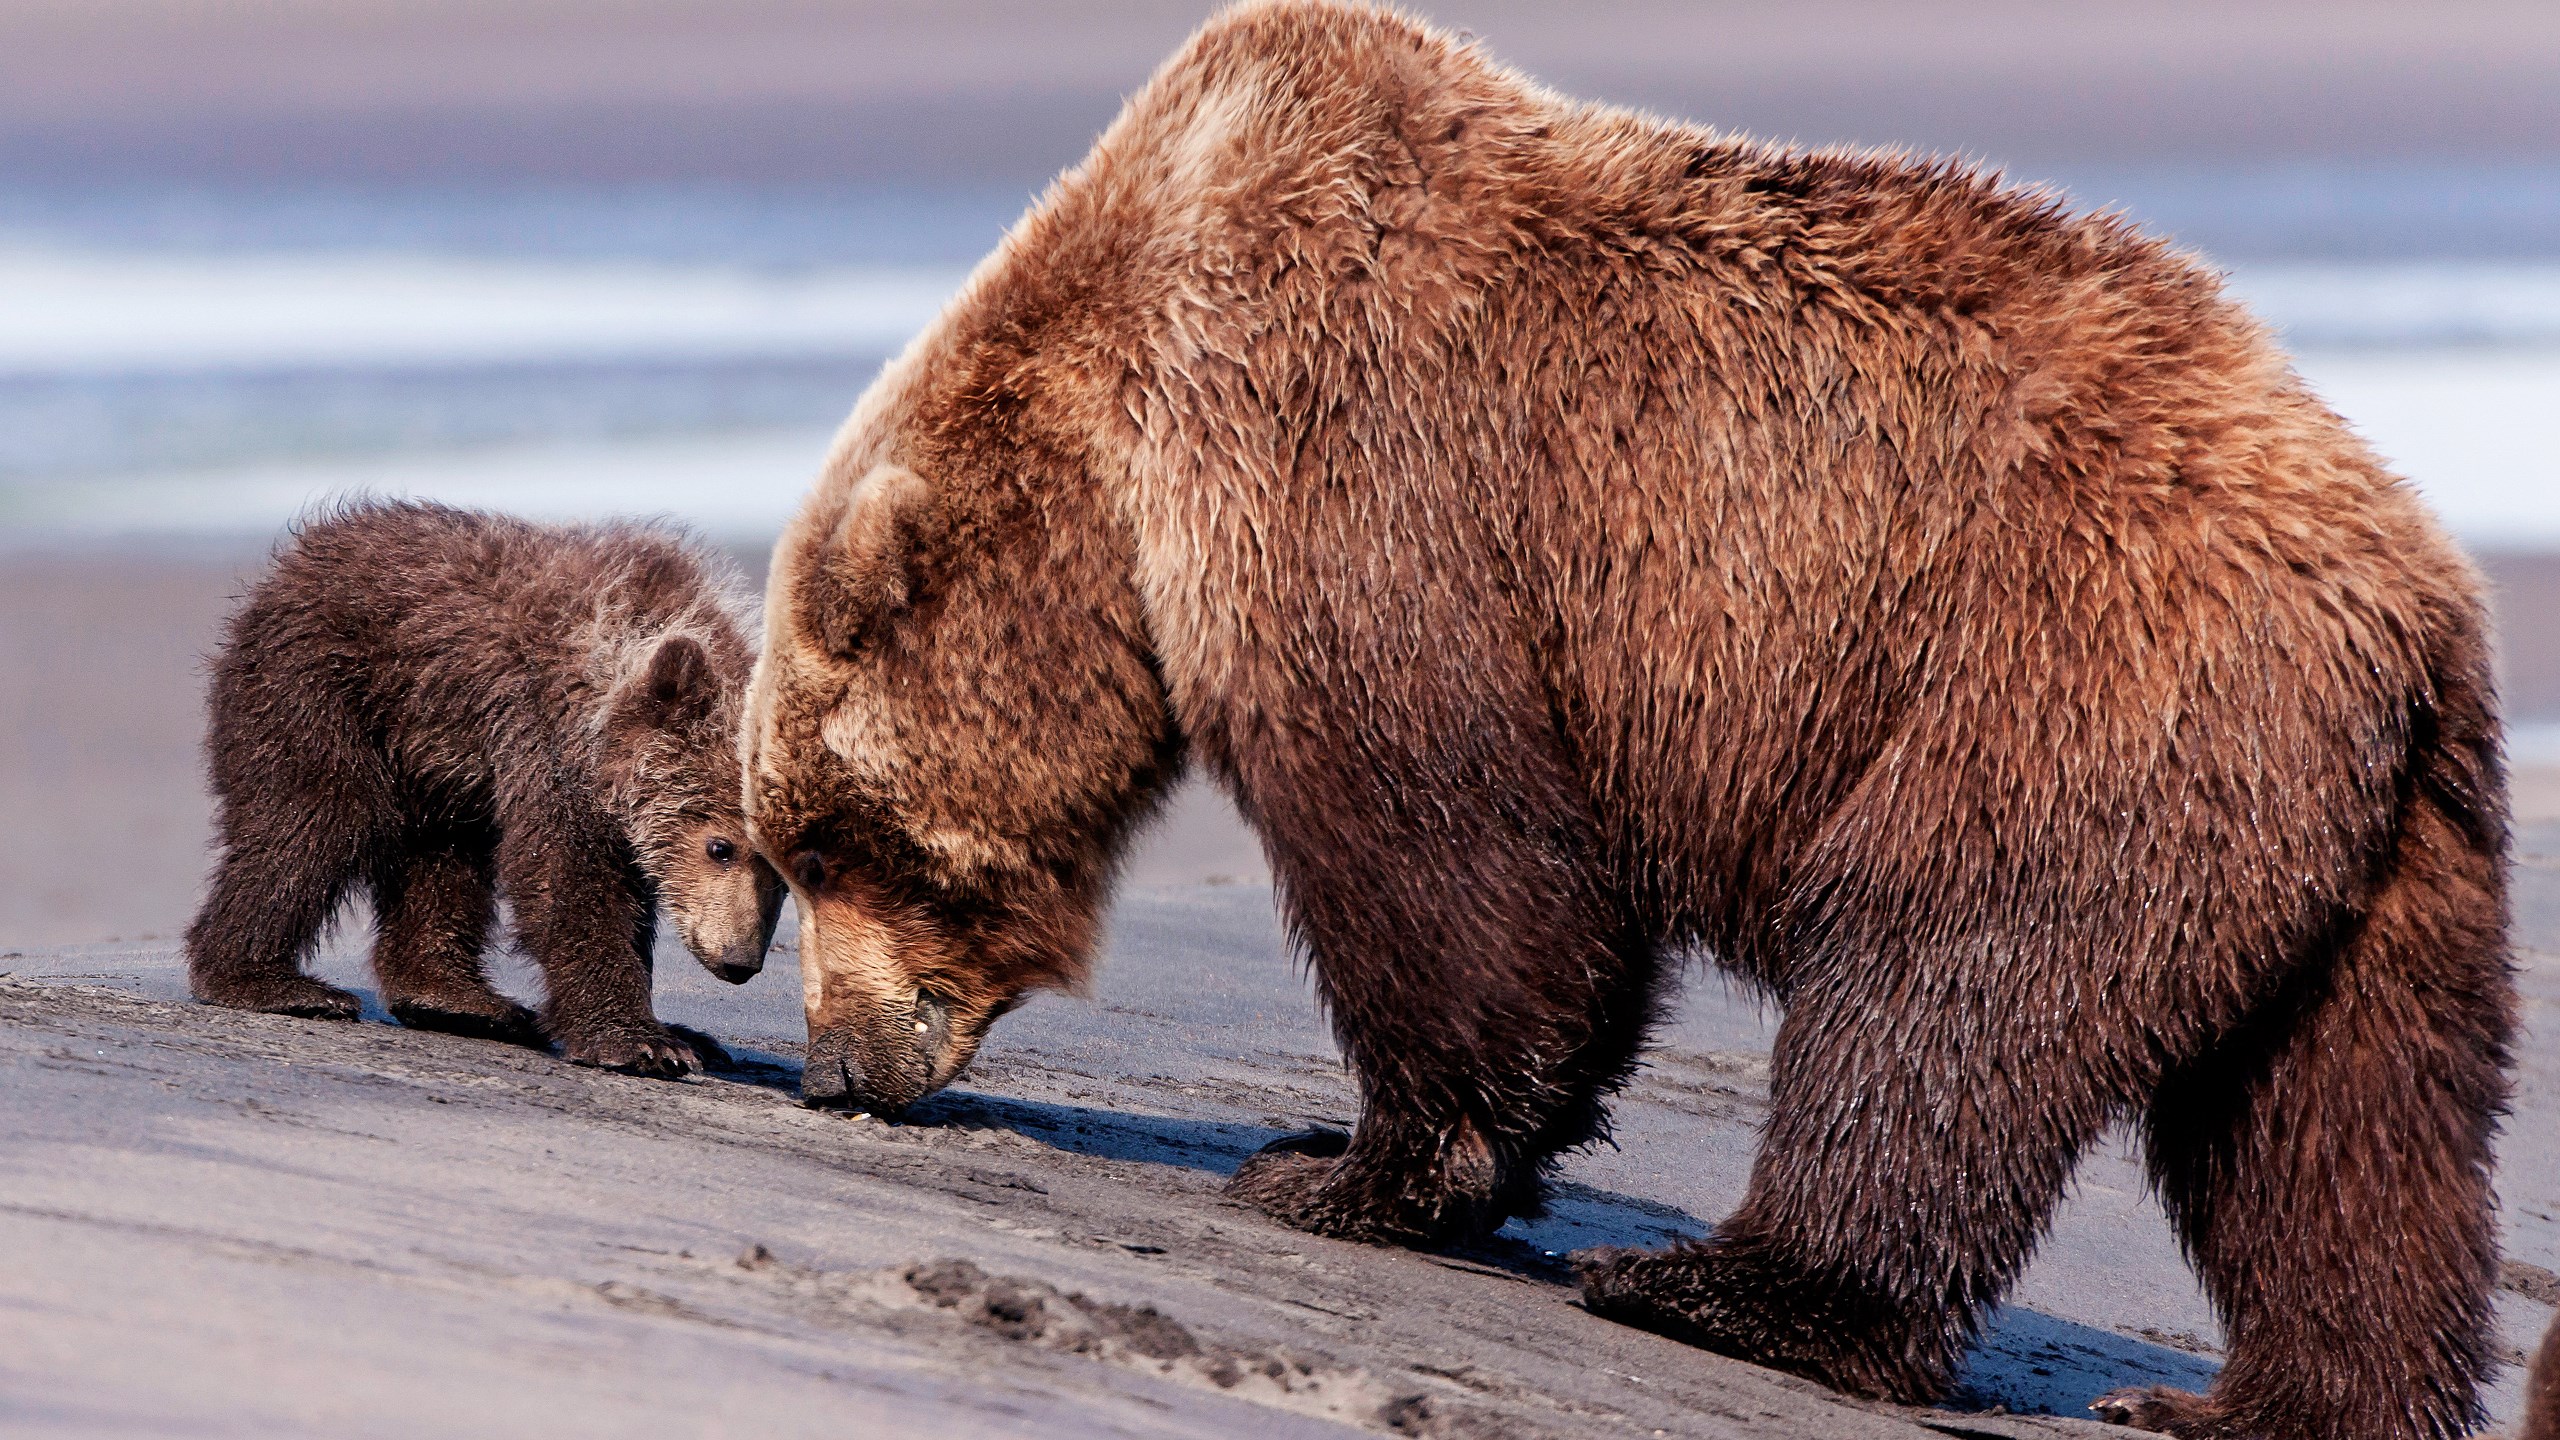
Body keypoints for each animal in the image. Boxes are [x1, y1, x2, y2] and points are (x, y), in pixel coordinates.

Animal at [188, 499, 784, 1078]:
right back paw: (269, 982)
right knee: (313, 820)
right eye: (720, 848)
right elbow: (568, 877)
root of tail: (297, 559)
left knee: (441, 858)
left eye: (782, 877)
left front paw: (686, 1034)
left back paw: (460, 999)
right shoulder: (546, 738)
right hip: (323, 687)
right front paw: (642, 1041)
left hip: (433, 757)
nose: (740, 961)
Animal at [737, 4, 2514, 1436]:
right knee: (2341, 1135)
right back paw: (2253, 1398)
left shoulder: (1347, 456)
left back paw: (1731, 1289)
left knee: (1940, 977)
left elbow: (1451, 849)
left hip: (2063, 680)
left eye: (825, 839)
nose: (834, 1066)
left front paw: (1341, 1169)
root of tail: (2414, 588)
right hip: (2369, 845)